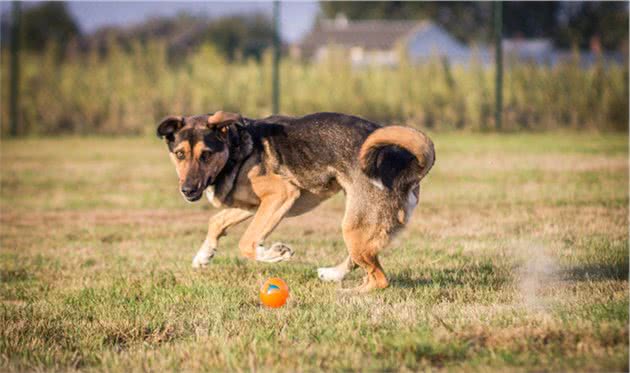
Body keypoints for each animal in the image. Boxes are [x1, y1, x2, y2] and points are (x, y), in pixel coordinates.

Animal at [158, 110, 434, 290]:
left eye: (206, 154)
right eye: (180, 154)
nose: (187, 190)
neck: (236, 148)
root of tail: (409, 168)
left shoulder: (281, 194)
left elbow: (247, 242)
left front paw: (274, 253)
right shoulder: (253, 205)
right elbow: (216, 222)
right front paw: (203, 256)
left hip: (354, 224)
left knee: (379, 279)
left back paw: (347, 293)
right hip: (359, 226)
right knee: (362, 263)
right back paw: (333, 275)